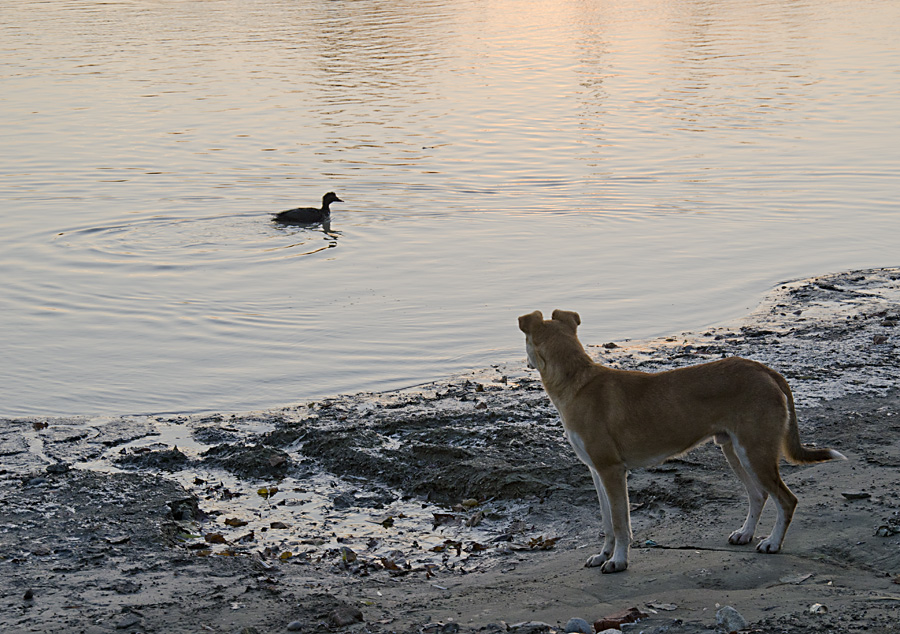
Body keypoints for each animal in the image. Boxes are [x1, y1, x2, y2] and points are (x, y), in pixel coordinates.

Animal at [516, 308, 848, 572]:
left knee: (786, 500)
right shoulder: (596, 471)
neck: (577, 381)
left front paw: (618, 561)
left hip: (756, 452)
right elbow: (607, 523)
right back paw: (745, 533)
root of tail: (766, 370)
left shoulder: (612, 471)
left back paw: (773, 543)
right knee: (758, 495)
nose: (526, 364)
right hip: (735, 450)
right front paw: (603, 555)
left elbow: (621, 524)